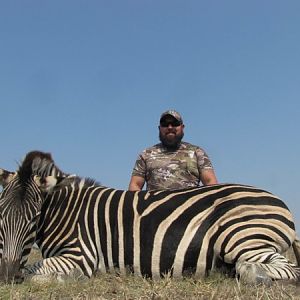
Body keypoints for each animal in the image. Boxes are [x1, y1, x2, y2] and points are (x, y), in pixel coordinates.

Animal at [0, 150, 298, 284]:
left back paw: (253, 274)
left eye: (34, 218)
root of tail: (279, 200)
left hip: (240, 236)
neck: (67, 212)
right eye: (1, 217)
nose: (7, 276)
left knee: (280, 268)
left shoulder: (81, 255)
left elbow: (33, 273)